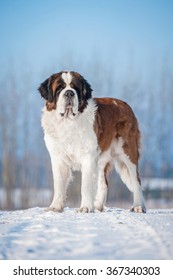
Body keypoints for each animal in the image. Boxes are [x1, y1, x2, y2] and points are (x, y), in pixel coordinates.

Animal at [38, 71, 146, 213]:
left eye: (75, 88)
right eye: (59, 89)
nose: (69, 93)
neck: (68, 122)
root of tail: (125, 104)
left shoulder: (88, 157)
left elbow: (86, 185)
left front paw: (85, 207)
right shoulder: (58, 158)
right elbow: (59, 184)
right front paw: (55, 207)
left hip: (128, 153)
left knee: (136, 180)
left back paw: (139, 206)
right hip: (101, 158)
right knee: (104, 183)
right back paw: (98, 205)